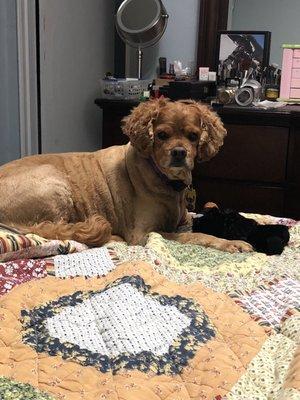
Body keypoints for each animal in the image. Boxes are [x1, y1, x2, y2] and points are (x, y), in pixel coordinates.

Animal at [0, 98, 253, 252]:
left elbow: (195, 230)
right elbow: (193, 237)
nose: (179, 153)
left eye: (193, 136)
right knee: (56, 230)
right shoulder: (143, 234)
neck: (166, 183)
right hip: (54, 183)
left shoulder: (183, 221)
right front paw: (231, 243)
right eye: (161, 135)